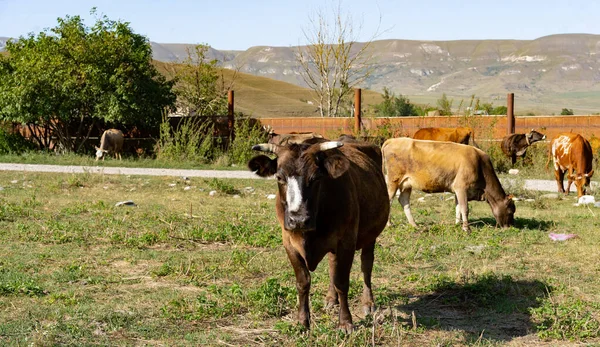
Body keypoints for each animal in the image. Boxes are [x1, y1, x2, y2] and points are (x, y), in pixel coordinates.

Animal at [247, 137, 390, 334]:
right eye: (279, 177)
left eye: (315, 178)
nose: (298, 219)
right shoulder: (289, 244)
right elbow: (303, 282)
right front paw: (302, 320)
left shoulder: (346, 242)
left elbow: (342, 282)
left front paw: (345, 322)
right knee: (332, 265)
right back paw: (330, 299)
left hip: (371, 235)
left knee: (366, 266)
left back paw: (368, 302)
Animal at [382, 137, 512, 232]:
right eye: (511, 211)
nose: (509, 227)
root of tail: (392, 140)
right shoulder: (461, 187)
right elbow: (465, 208)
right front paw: (466, 228)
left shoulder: (457, 190)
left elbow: (458, 207)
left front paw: (457, 224)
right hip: (394, 180)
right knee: (389, 199)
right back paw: (389, 224)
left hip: (406, 183)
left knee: (404, 200)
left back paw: (414, 224)